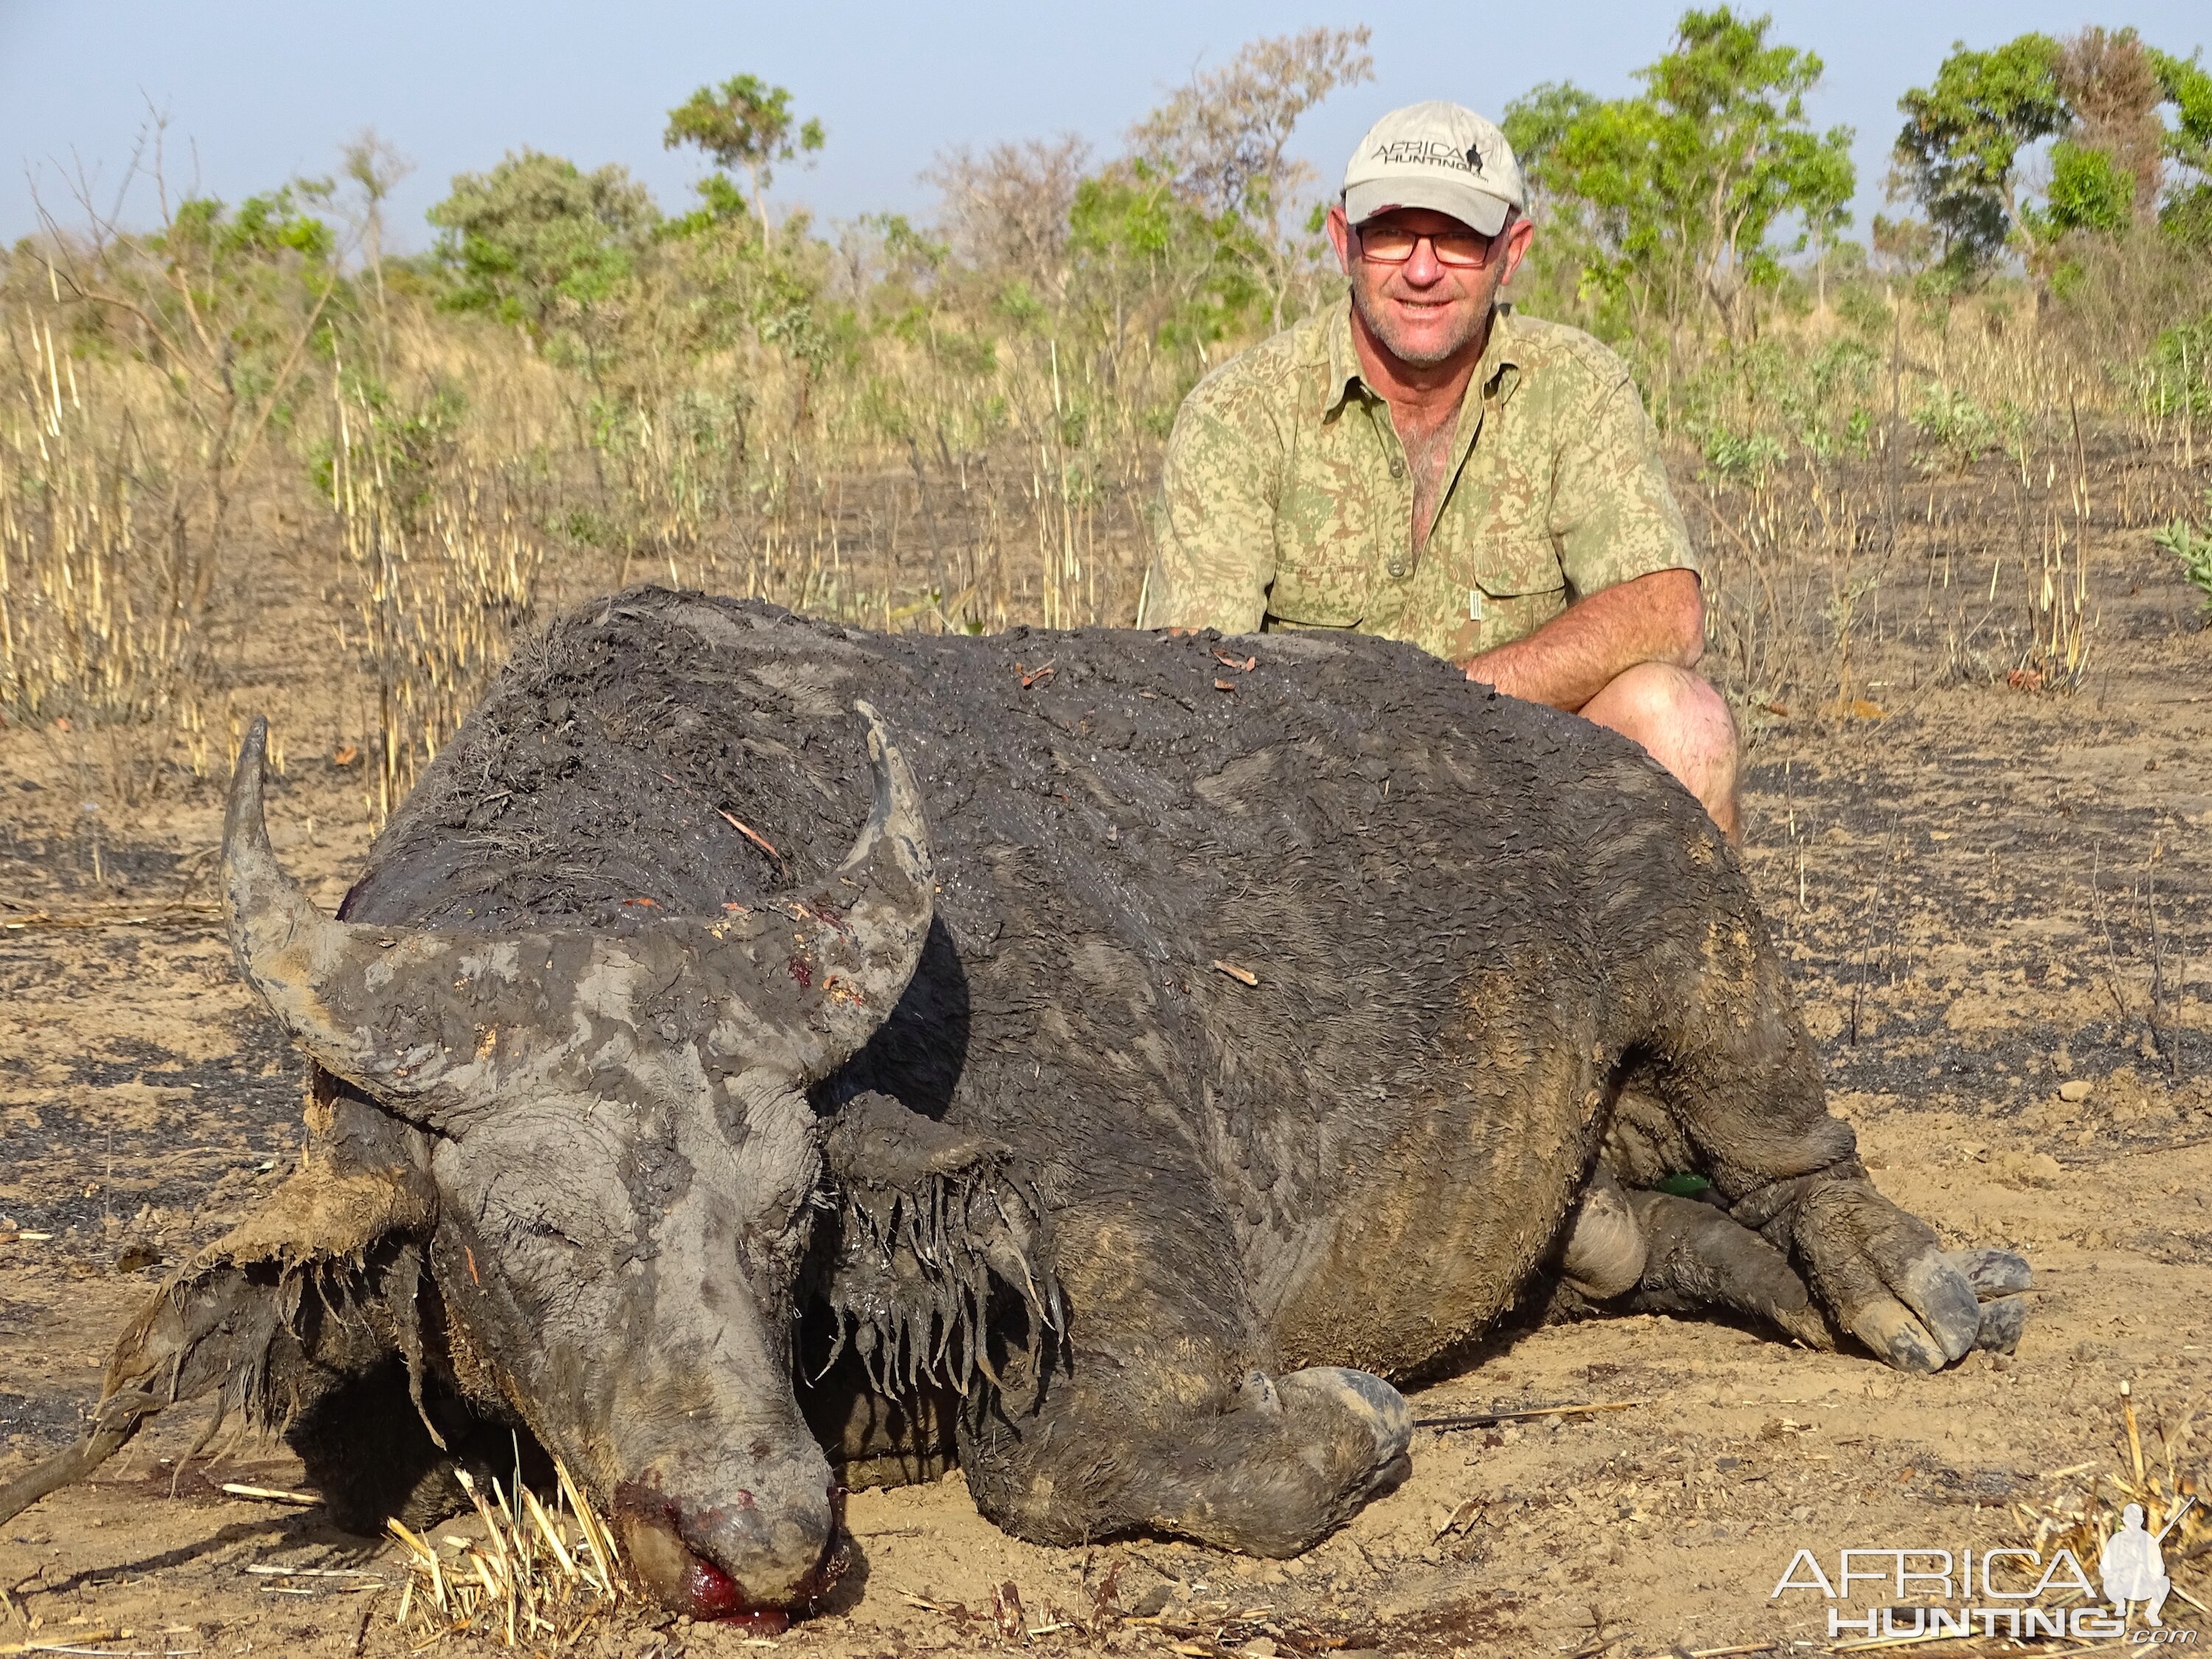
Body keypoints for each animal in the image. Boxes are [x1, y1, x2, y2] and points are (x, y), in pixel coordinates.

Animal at [0, 593, 2026, 1628]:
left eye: (790, 1216)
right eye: (534, 1234)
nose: (760, 1535)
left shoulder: (1119, 1226)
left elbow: (1065, 1456)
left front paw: (1354, 1422)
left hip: (1699, 938)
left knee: (1801, 1154)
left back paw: (1923, 1288)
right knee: (1650, 1235)